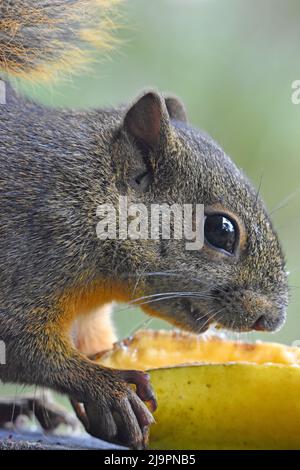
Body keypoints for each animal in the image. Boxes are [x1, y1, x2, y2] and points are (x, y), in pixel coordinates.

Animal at [0, 0, 288, 448]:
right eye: (220, 231)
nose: (272, 320)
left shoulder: (87, 318)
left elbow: (91, 343)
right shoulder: (30, 254)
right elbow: (24, 346)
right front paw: (111, 389)